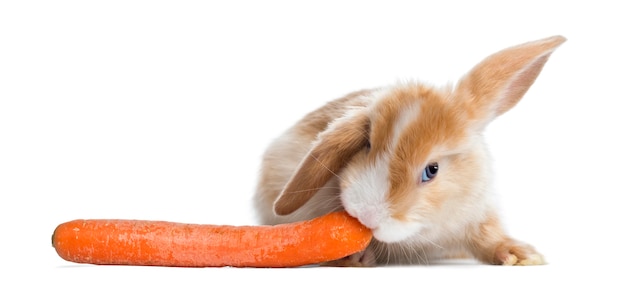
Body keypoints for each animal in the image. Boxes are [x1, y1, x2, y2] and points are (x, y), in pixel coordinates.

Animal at [251, 35, 564, 266]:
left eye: (431, 170)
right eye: (367, 144)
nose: (367, 215)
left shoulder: (476, 217)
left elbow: (488, 238)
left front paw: (521, 255)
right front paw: (354, 257)